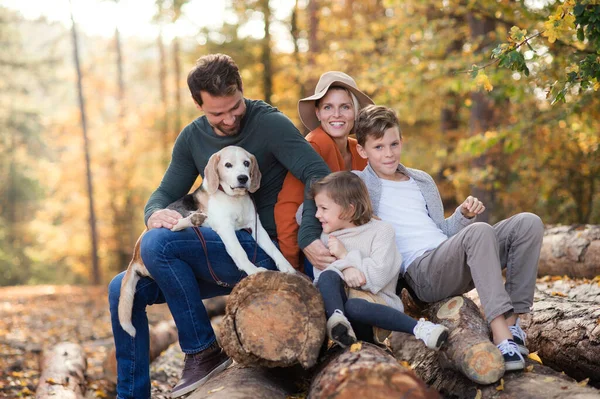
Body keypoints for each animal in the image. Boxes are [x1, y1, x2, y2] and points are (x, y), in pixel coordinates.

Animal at [118, 145, 296, 336]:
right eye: (228, 165)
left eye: (247, 163)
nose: (243, 178)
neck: (235, 199)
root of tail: (135, 255)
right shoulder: (226, 229)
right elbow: (240, 252)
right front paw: (253, 270)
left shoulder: (256, 228)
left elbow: (274, 249)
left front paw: (287, 267)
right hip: (169, 220)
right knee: (173, 227)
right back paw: (194, 219)